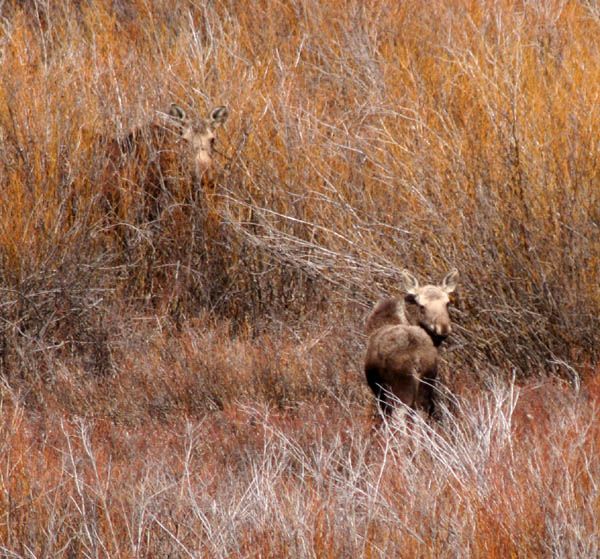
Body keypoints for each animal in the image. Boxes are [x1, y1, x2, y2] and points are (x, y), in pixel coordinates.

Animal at [366, 270, 460, 420]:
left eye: (447, 303)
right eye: (422, 306)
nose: (444, 328)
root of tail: (416, 360)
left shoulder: (378, 389)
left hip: (401, 391)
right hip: (426, 386)